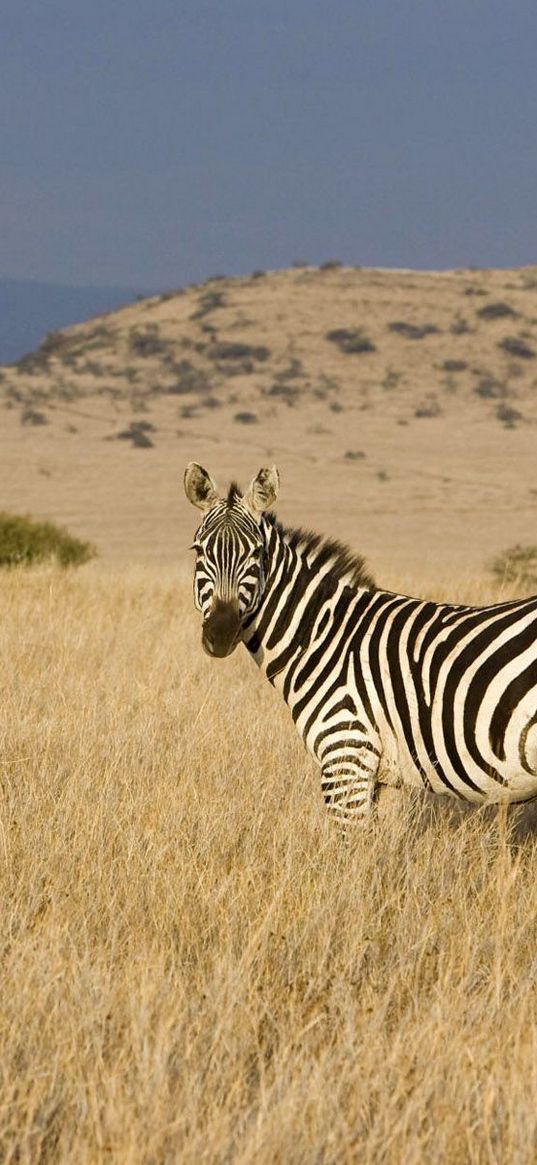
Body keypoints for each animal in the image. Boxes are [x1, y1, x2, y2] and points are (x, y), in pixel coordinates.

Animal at [181, 459, 535, 834]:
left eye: (257, 553)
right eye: (199, 550)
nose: (220, 633)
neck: (323, 635)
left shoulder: (346, 754)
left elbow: (348, 846)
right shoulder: (383, 775)